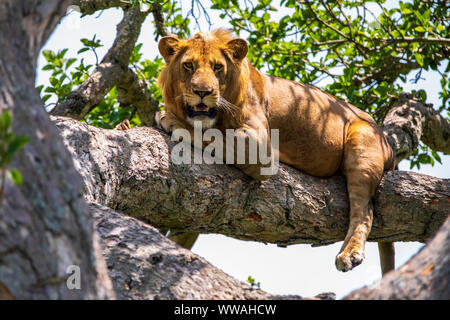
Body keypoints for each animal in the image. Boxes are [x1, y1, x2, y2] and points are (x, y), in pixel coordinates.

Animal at [154, 28, 394, 276]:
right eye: (188, 65)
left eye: (218, 67)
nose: (203, 92)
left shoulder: (260, 146)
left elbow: (212, 134)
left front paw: (170, 119)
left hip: (362, 144)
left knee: (364, 211)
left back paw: (349, 254)